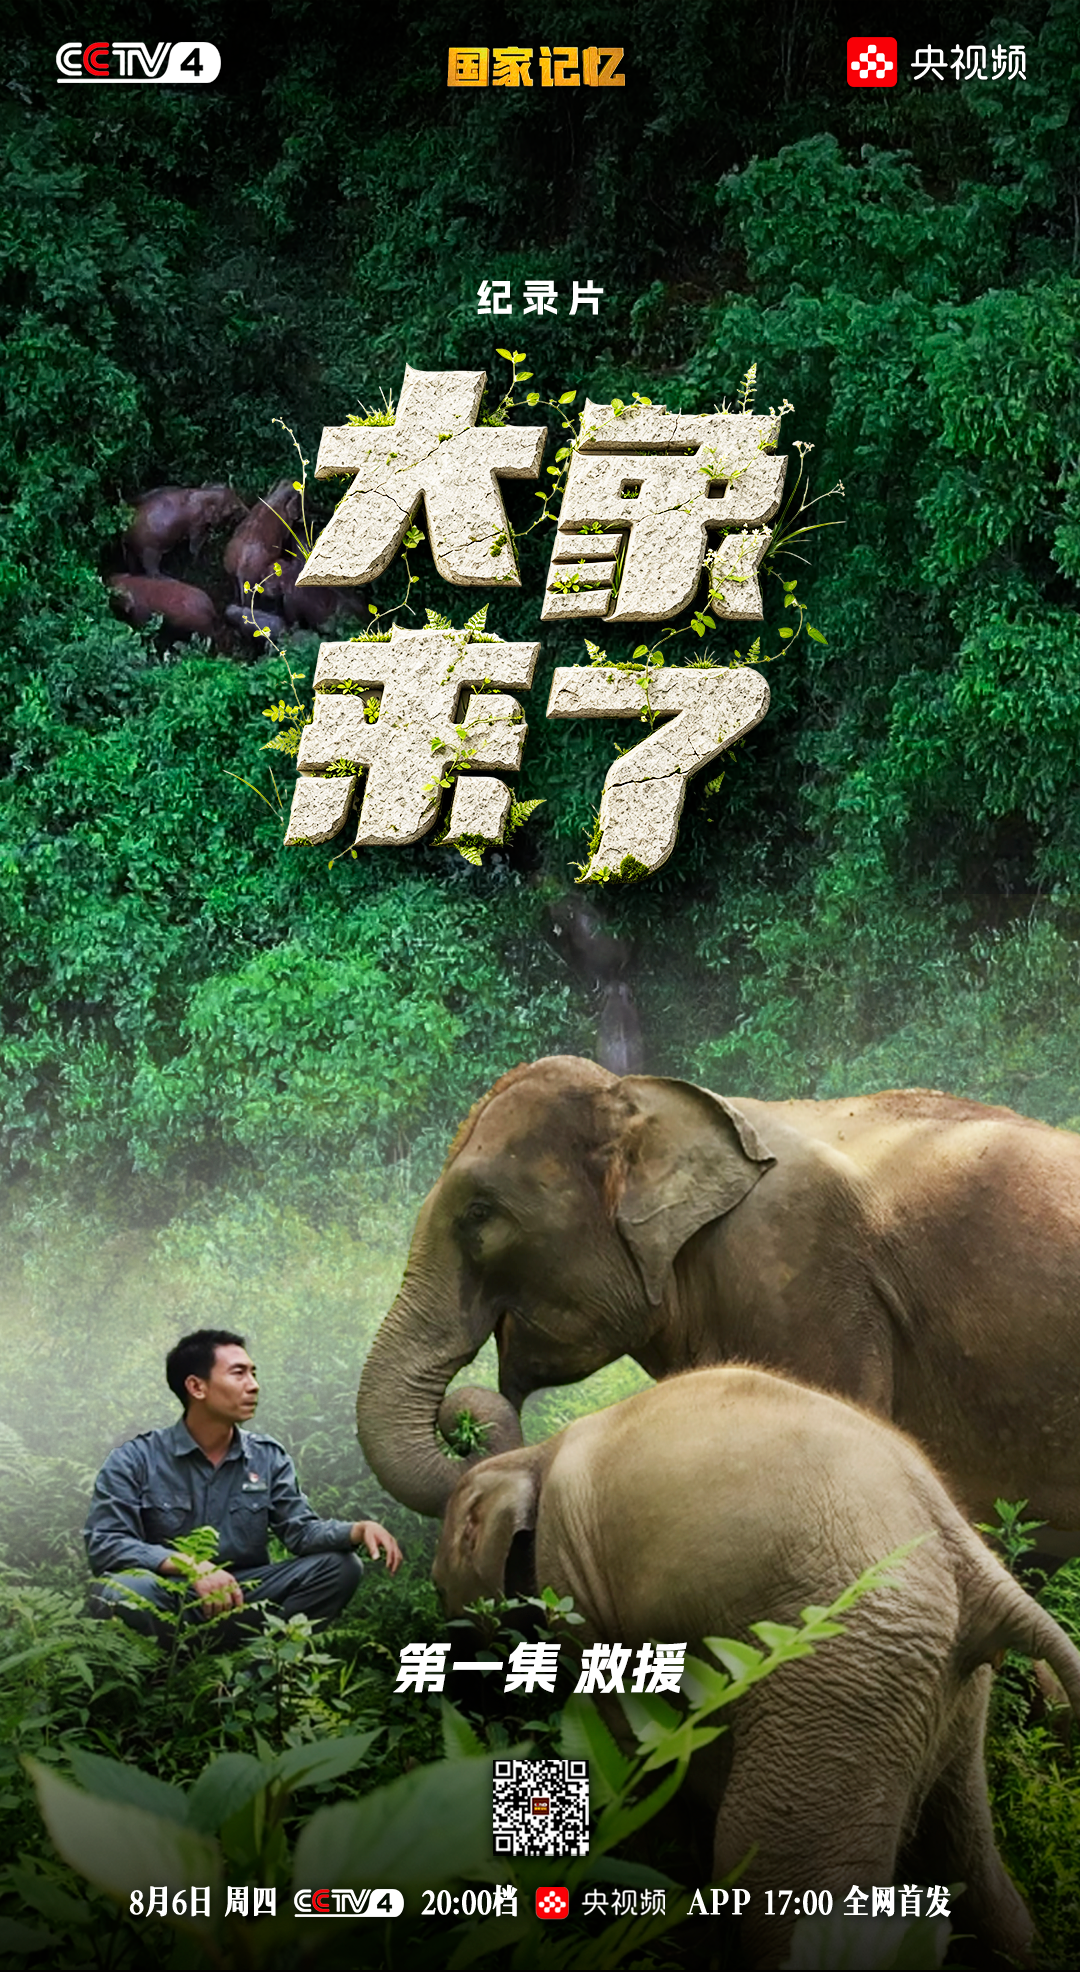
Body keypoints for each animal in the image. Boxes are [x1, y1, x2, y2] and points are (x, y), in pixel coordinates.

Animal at [434, 1366, 1080, 1969]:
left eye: (440, 1586)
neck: (534, 1455)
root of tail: (975, 1563)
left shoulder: (575, 1586)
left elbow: (633, 1757)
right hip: (944, 1688)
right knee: (971, 1864)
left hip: (843, 1676)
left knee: (768, 1865)